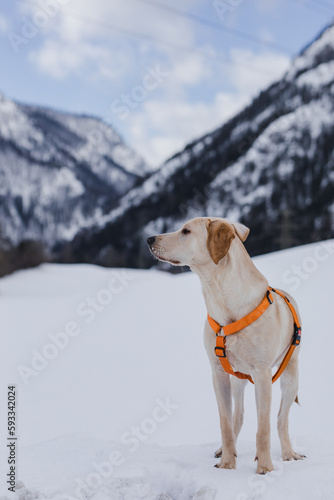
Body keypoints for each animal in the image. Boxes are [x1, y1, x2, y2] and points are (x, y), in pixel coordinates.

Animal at [147, 218, 304, 472]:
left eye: (186, 231)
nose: (149, 239)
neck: (223, 301)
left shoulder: (262, 374)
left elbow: (264, 428)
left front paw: (265, 468)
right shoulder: (218, 373)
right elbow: (225, 422)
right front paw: (227, 464)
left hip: (290, 375)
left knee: (281, 418)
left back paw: (288, 453)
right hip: (237, 380)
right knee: (237, 416)